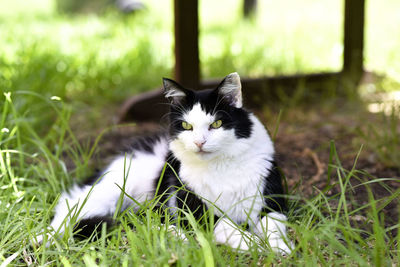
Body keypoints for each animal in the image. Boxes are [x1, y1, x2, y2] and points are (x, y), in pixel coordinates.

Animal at [39, 73, 290, 255]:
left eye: (216, 124)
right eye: (187, 126)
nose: (199, 142)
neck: (221, 166)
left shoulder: (272, 202)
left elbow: (274, 227)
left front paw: (280, 248)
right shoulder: (195, 212)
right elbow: (229, 226)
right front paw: (254, 245)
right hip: (113, 190)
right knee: (69, 207)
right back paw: (44, 238)